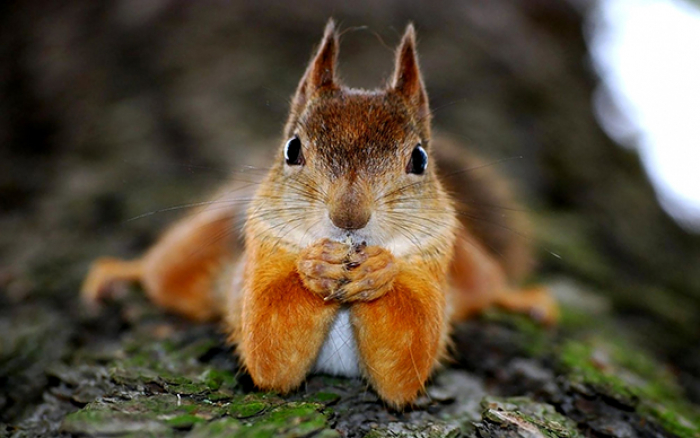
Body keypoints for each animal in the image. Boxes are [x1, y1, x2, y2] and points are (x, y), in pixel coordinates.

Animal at [80, 19, 556, 410]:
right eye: (292, 149)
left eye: (420, 159)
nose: (349, 216)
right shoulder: (260, 257)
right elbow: (267, 347)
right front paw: (315, 267)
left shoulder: (432, 261)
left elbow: (408, 361)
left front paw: (380, 271)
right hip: (198, 247)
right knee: (162, 273)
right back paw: (119, 272)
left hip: (470, 267)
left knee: (487, 287)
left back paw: (523, 299)